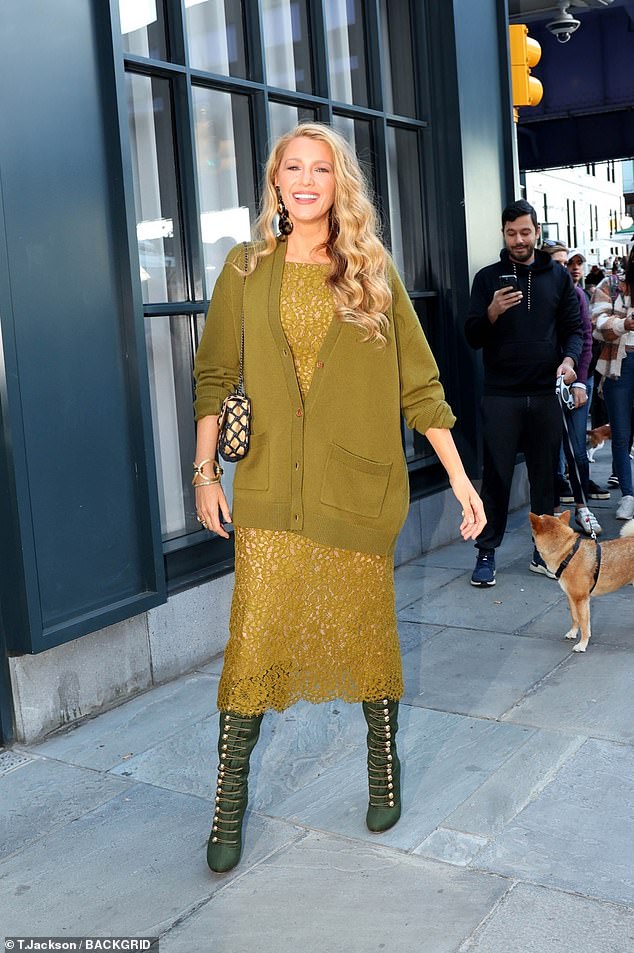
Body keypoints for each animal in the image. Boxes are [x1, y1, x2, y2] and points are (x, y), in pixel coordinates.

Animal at [528, 510, 632, 652]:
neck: (567, 554)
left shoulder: (581, 599)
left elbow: (583, 623)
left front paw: (582, 644)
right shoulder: (571, 597)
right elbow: (575, 618)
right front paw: (573, 633)